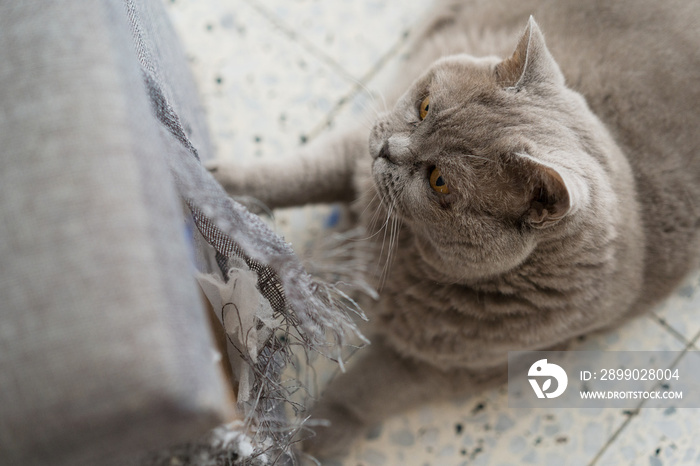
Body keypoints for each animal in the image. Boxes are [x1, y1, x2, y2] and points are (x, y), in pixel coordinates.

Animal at [208, 0, 700, 458]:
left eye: (439, 180)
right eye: (425, 106)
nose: (388, 149)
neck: (403, 248)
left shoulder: (450, 367)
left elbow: (362, 394)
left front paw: (307, 445)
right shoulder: (356, 149)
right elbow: (299, 173)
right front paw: (216, 187)